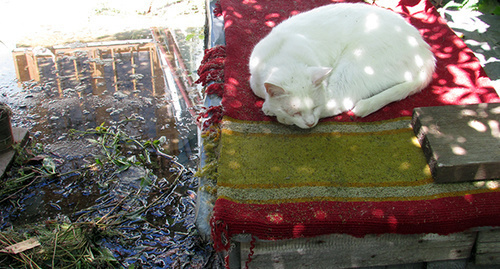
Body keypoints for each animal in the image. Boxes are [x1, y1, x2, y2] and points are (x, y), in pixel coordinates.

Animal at [248, 2, 436, 129]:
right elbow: (258, 90)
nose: (310, 124)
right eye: (295, 112)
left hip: (355, 65)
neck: (285, 56)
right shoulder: (255, 77)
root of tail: (426, 52)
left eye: (314, 107)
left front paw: (273, 110)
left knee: (339, 101)